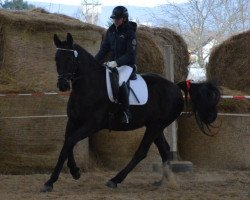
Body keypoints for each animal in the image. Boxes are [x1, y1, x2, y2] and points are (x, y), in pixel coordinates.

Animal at [41, 33, 221, 192]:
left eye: (70, 59)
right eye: (56, 59)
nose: (63, 85)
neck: (88, 86)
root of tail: (175, 87)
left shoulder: (92, 125)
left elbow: (70, 142)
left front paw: (52, 181)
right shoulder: (73, 121)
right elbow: (67, 144)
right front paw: (72, 172)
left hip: (155, 126)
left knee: (142, 152)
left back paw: (115, 180)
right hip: (155, 126)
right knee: (164, 150)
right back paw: (164, 182)